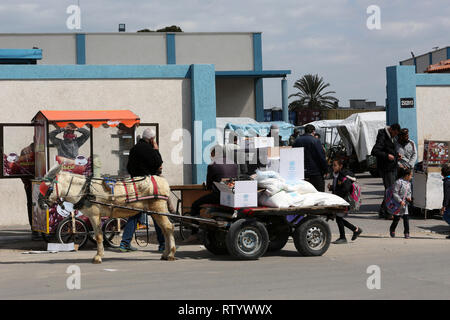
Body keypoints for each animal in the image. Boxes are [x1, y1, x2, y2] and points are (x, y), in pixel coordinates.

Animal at [38, 164, 176, 264]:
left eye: (48, 188)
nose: (39, 204)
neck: (84, 189)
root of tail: (162, 181)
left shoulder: (94, 215)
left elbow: (98, 236)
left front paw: (98, 257)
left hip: (158, 209)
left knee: (168, 228)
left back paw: (170, 254)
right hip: (155, 212)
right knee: (164, 229)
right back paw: (165, 253)